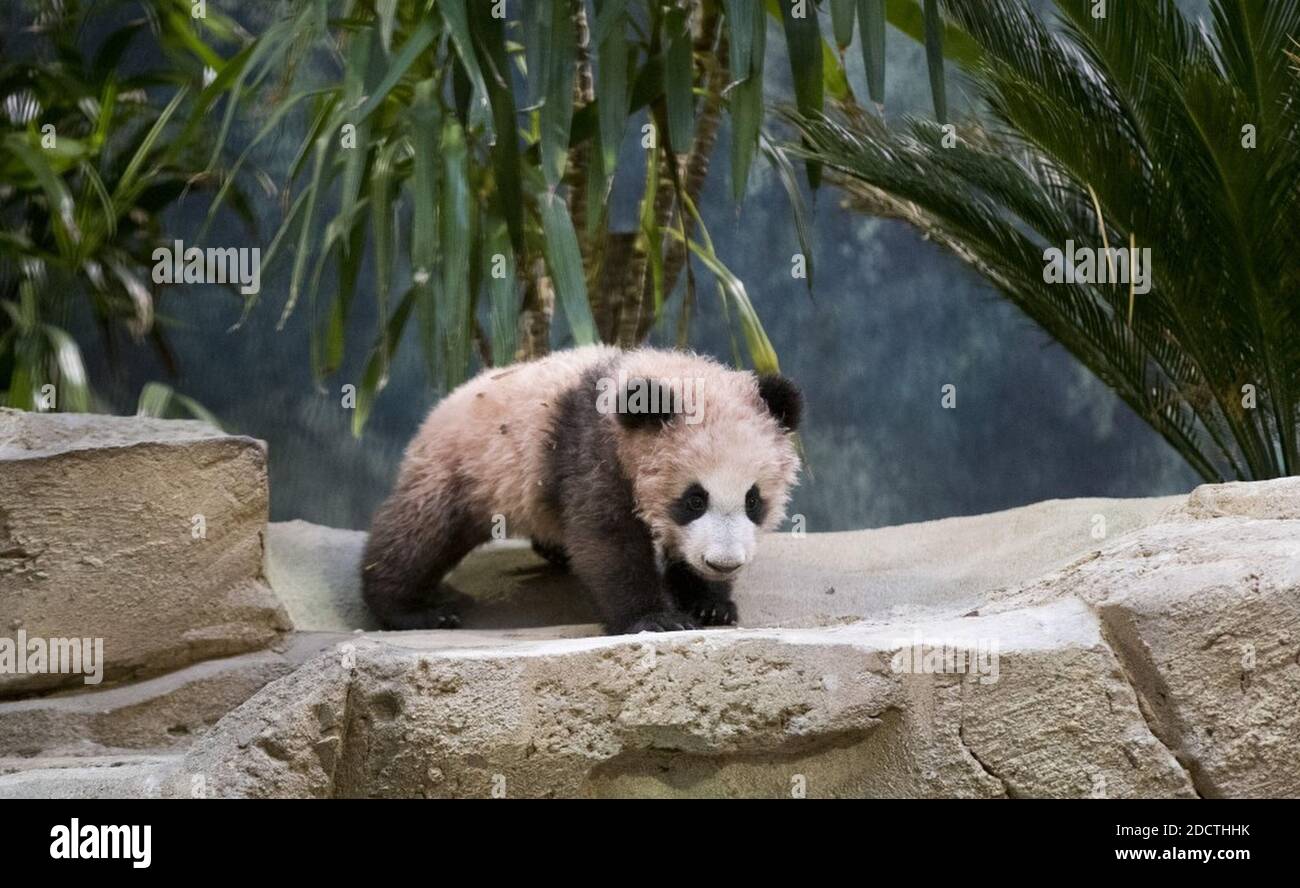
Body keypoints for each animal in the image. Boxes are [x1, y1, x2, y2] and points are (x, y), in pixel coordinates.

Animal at [361, 344, 802, 634]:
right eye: (694, 500)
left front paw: (710, 605)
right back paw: (414, 611)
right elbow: (606, 539)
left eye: (753, 500)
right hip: (462, 468)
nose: (723, 563)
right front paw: (656, 619)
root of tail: (442, 406)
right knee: (419, 534)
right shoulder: (589, 450)